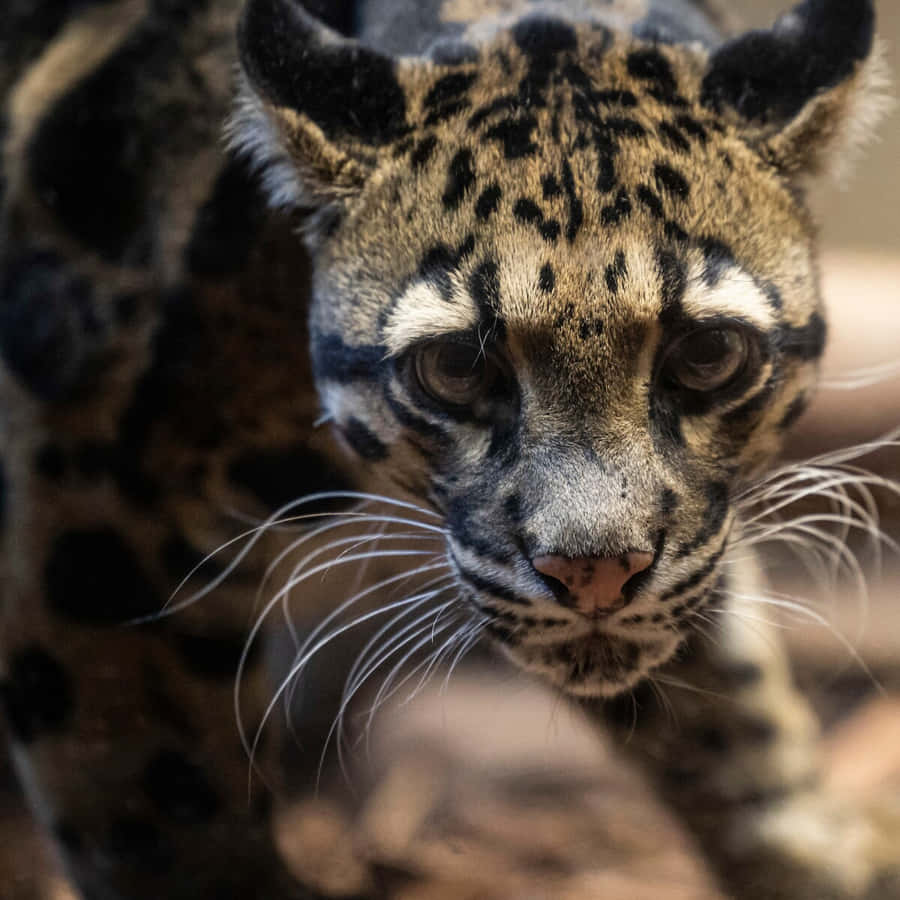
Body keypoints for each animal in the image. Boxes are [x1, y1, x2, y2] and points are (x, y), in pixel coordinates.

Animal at [0, 0, 898, 898]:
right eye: (457, 366)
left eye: (708, 352)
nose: (595, 573)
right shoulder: (92, 532)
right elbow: (167, 819)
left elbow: (741, 716)